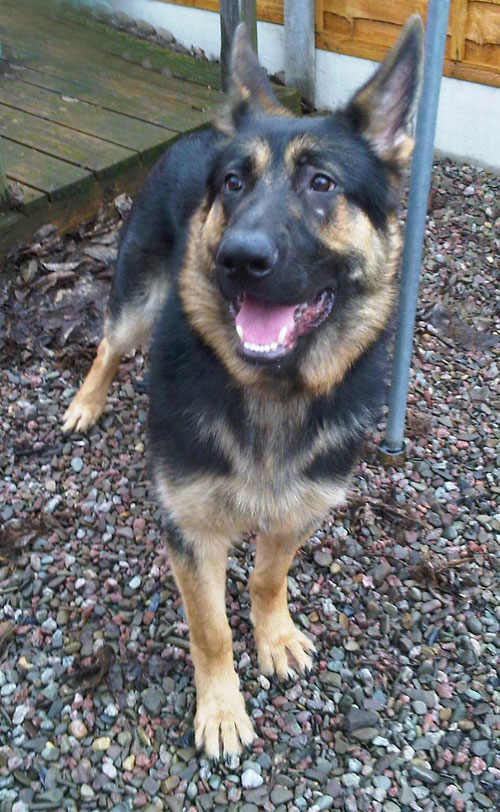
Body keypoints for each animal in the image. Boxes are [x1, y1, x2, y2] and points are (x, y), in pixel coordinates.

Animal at [62, 15, 422, 760]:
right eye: (232, 183)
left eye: (322, 183)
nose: (240, 258)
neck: (272, 392)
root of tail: (201, 130)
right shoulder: (191, 529)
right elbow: (210, 628)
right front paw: (222, 708)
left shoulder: (299, 508)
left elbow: (266, 576)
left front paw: (275, 635)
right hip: (139, 299)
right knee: (109, 344)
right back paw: (86, 402)